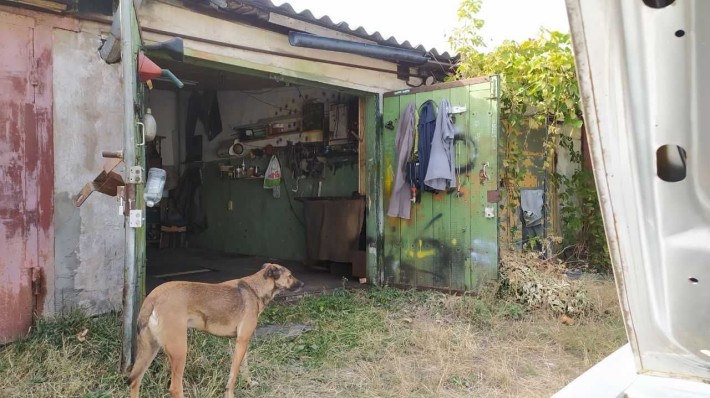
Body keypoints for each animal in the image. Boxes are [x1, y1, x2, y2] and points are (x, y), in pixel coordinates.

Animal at [129, 264, 304, 398]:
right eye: (290, 276)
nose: (302, 284)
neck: (255, 288)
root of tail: (153, 297)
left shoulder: (243, 342)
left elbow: (244, 367)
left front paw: (249, 383)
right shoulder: (241, 342)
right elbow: (233, 375)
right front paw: (230, 394)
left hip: (150, 349)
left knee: (135, 380)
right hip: (179, 351)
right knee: (175, 388)